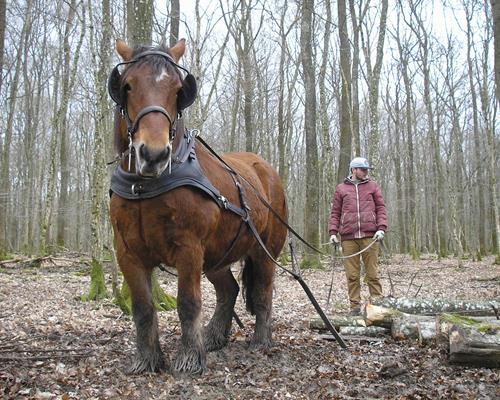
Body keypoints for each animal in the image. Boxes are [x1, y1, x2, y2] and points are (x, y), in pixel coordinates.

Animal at [108, 38, 290, 376]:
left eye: (179, 89)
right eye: (126, 86)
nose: (153, 155)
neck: (146, 186)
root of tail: (266, 170)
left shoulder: (189, 248)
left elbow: (188, 302)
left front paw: (190, 358)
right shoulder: (127, 252)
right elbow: (142, 307)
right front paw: (147, 359)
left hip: (264, 250)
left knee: (263, 291)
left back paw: (261, 340)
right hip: (217, 256)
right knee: (228, 290)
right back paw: (215, 337)